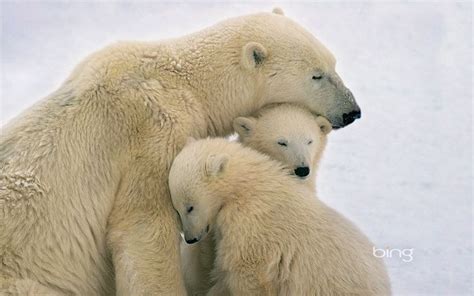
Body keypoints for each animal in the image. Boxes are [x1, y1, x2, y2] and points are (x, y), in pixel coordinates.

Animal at [1, 8, 362, 294]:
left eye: (333, 63)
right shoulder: (153, 131)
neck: (184, 81)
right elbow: (143, 229)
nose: (352, 112)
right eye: (316, 75)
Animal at [168, 138, 390, 296]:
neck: (246, 188)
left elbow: (247, 273)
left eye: (190, 207)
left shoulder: (253, 226)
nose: (191, 238)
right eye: (177, 209)